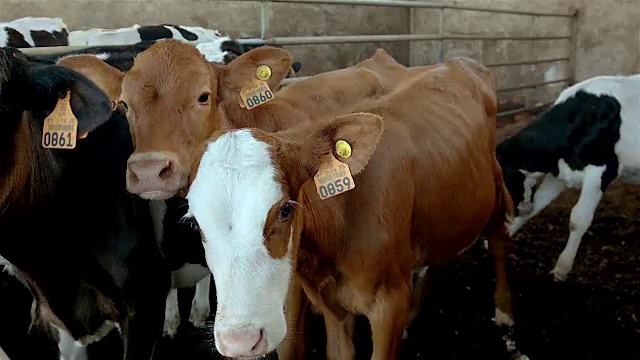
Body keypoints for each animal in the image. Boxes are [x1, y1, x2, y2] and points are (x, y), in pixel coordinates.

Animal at [182, 57, 528, 358]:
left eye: (285, 209)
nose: (240, 340)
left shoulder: (389, 302)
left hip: (494, 184)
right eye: (196, 223)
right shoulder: (333, 306)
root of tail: (458, 61)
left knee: (499, 239)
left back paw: (505, 313)